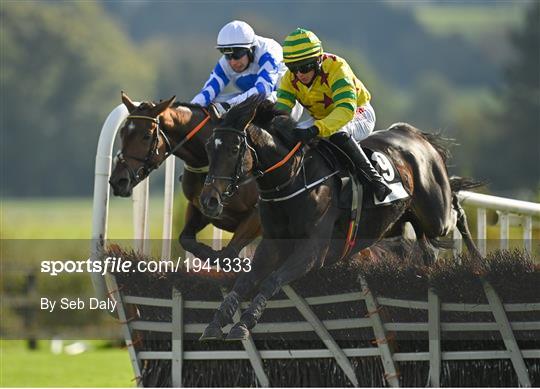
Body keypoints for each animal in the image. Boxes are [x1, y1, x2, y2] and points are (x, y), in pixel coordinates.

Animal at [108, 91, 262, 260]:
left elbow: (229, 251)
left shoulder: (256, 216)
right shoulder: (197, 207)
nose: (118, 180)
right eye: (122, 132)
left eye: (146, 136)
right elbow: (186, 240)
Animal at [198, 94, 480, 340]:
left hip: (436, 215)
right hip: (398, 221)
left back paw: (477, 259)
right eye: (209, 148)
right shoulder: (272, 244)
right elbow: (244, 282)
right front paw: (216, 323)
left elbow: (271, 280)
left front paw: (244, 324)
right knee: (427, 243)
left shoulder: (313, 250)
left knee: (456, 210)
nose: (208, 200)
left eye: (234, 148)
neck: (292, 178)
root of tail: (412, 133)